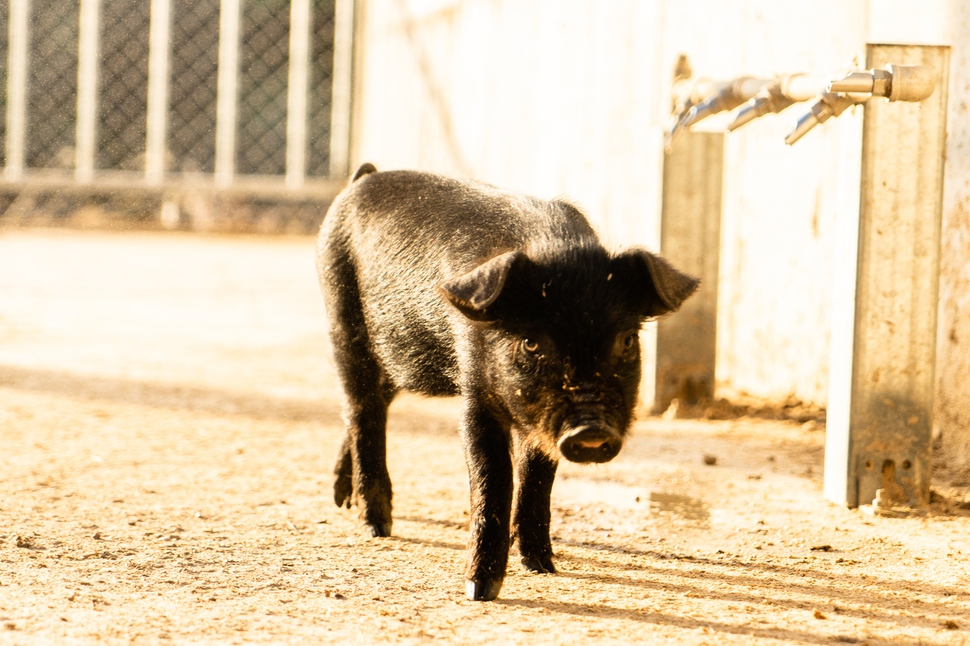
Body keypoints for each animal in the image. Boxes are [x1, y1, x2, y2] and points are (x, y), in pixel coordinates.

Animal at [318, 166, 696, 604]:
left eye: (627, 340)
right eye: (531, 341)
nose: (590, 429)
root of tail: (364, 177)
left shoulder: (540, 424)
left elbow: (537, 478)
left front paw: (542, 567)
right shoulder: (476, 391)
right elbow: (493, 478)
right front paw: (480, 590)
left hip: (399, 353)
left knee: (372, 402)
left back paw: (342, 499)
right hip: (342, 318)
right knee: (362, 407)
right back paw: (376, 527)